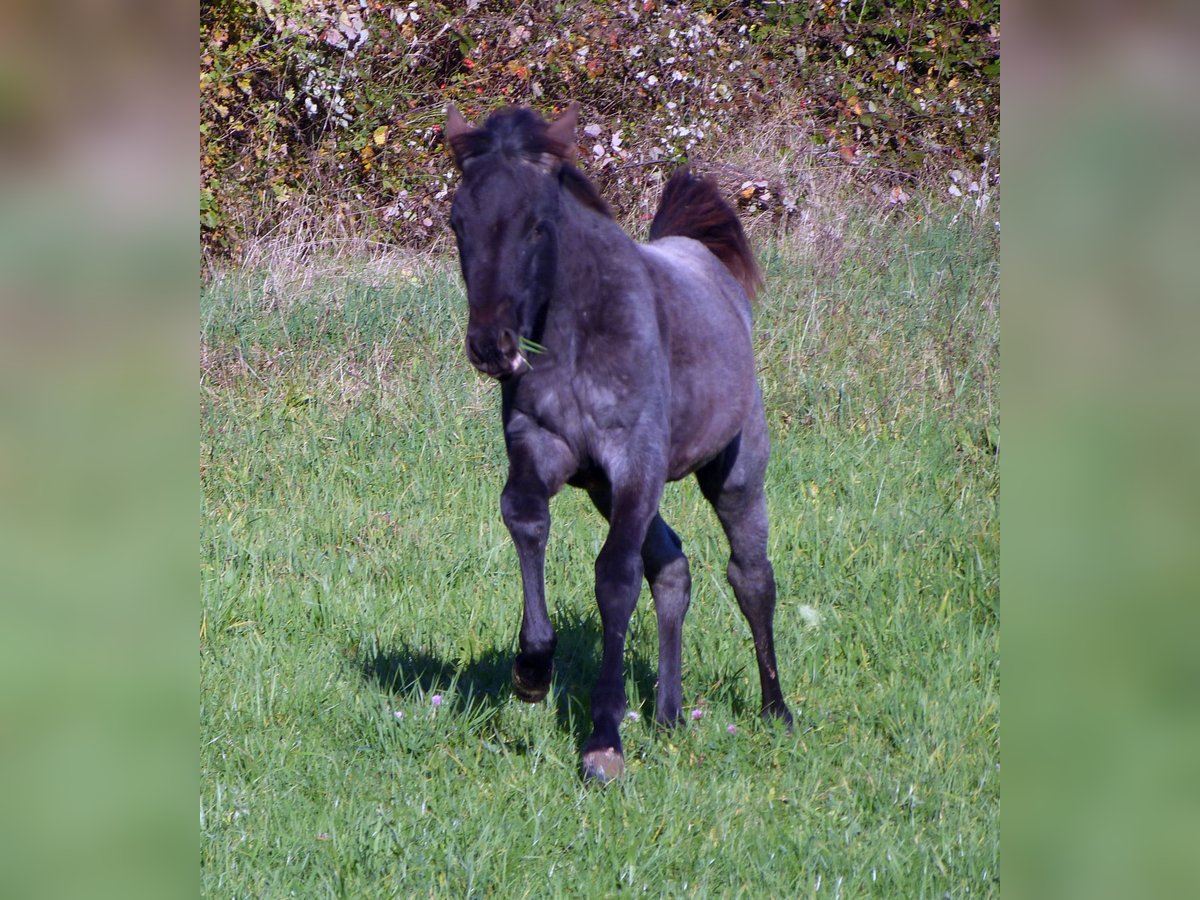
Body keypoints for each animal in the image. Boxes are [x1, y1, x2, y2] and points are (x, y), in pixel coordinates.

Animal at [446, 103, 792, 782]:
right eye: (457, 221)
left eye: (537, 225)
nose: (491, 345)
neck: (580, 333)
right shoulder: (545, 448)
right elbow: (524, 516)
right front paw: (533, 667)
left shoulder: (637, 462)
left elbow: (614, 578)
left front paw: (603, 739)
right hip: (608, 491)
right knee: (674, 566)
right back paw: (668, 712)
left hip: (734, 472)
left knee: (750, 576)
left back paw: (776, 710)